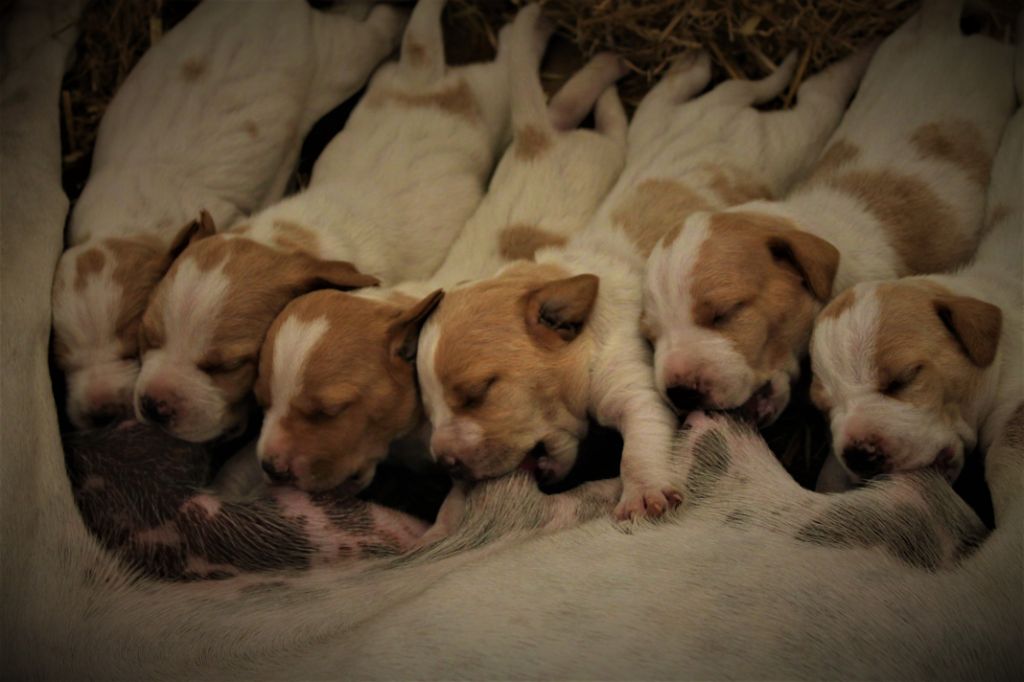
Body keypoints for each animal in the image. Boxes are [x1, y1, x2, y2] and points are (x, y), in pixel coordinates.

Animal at [49, 0, 405, 428]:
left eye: (130, 348)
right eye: (62, 364)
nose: (101, 413)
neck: (127, 224)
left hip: (338, 58)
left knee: (373, 33)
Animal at [136, 0, 516, 440]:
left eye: (226, 366)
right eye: (147, 336)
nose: (154, 404)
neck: (280, 239)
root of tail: (424, 75)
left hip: (489, 99)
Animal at [251, 6, 626, 493]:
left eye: (328, 411)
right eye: (260, 401)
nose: (271, 469)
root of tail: (536, 139)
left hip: (602, 152)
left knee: (605, 123)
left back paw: (605, 65)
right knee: (562, 104)